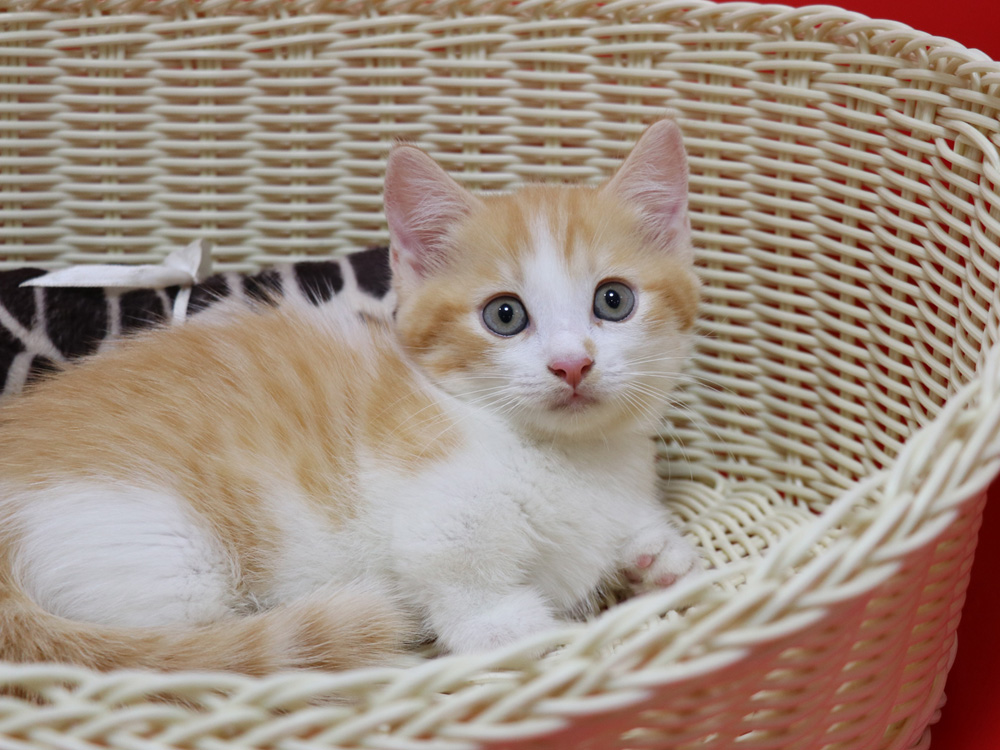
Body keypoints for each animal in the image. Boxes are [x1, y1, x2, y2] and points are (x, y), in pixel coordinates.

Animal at [0, 122, 704, 676]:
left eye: (613, 300)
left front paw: (655, 557)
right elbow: (454, 563)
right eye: (504, 315)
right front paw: (509, 627)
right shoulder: (437, 501)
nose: (572, 363)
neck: (573, 459)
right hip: (164, 556)